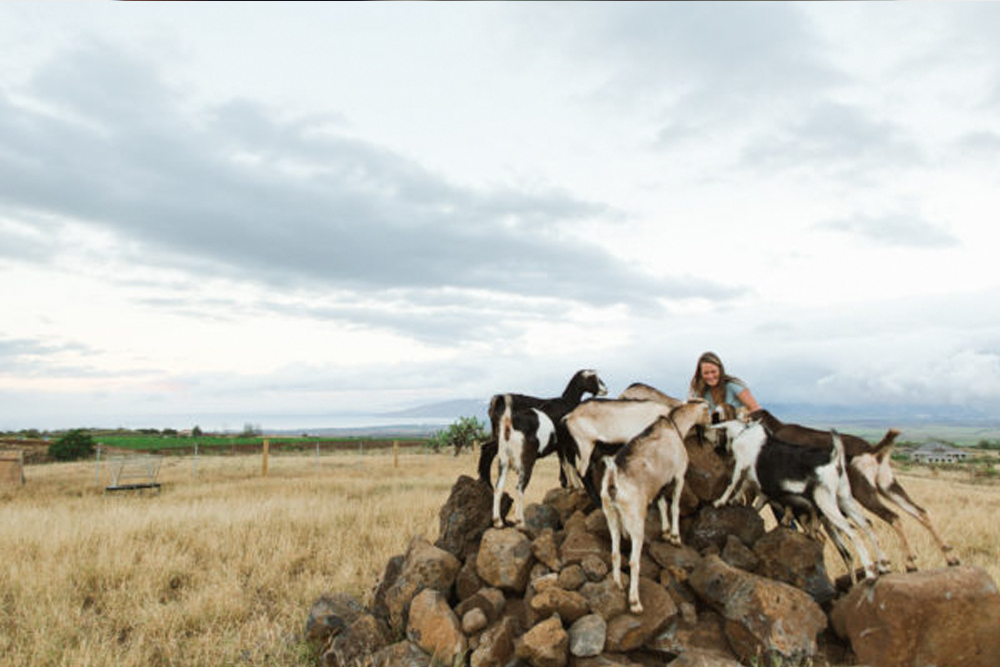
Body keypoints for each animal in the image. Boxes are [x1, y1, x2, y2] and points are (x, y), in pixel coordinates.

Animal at [487, 370, 608, 527]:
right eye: (593, 377)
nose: (605, 389)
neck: (566, 401)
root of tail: (508, 424)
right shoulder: (568, 442)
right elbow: (571, 463)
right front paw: (578, 488)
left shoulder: (560, 445)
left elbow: (565, 463)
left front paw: (570, 486)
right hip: (525, 461)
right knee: (519, 488)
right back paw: (520, 522)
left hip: (503, 461)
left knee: (498, 488)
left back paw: (498, 521)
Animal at [601, 399, 710, 613]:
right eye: (709, 410)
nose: (711, 424)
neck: (674, 427)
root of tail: (613, 479)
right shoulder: (679, 476)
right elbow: (674, 506)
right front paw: (675, 537)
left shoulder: (660, 485)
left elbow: (662, 505)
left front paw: (666, 532)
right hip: (635, 521)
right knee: (633, 561)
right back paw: (635, 602)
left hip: (611, 516)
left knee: (615, 553)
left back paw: (618, 585)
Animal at [712, 419, 883, 584]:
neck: (743, 432)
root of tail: (835, 461)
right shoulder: (758, 487)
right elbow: (749, 494)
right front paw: (735, 501)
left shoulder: (741, 466)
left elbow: (732, 484)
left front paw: (720, 502)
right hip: (844, 499)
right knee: (867, 525)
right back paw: (883, 565)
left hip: (827, 504)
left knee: (853, 533)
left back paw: (870, 573)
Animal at [752, 409, 959, 571]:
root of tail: (873, 451)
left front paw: (786, 521)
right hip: (888, 487)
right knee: (919, 512)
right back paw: (950, 558)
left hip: (863, 491)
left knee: (892, 517)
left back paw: (909, 563)